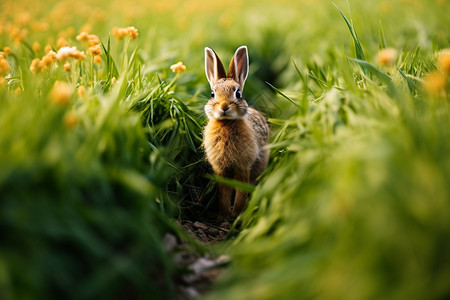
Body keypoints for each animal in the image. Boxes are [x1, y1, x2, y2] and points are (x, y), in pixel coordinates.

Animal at [203, 45, 268, 219]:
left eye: (238, 94)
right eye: (212, 94)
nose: (224, 106)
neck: (227, 123)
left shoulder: (243, 166)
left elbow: (241, 191)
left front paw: (236, 215)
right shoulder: (220, 168)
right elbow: (223, 192)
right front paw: (223, 215)